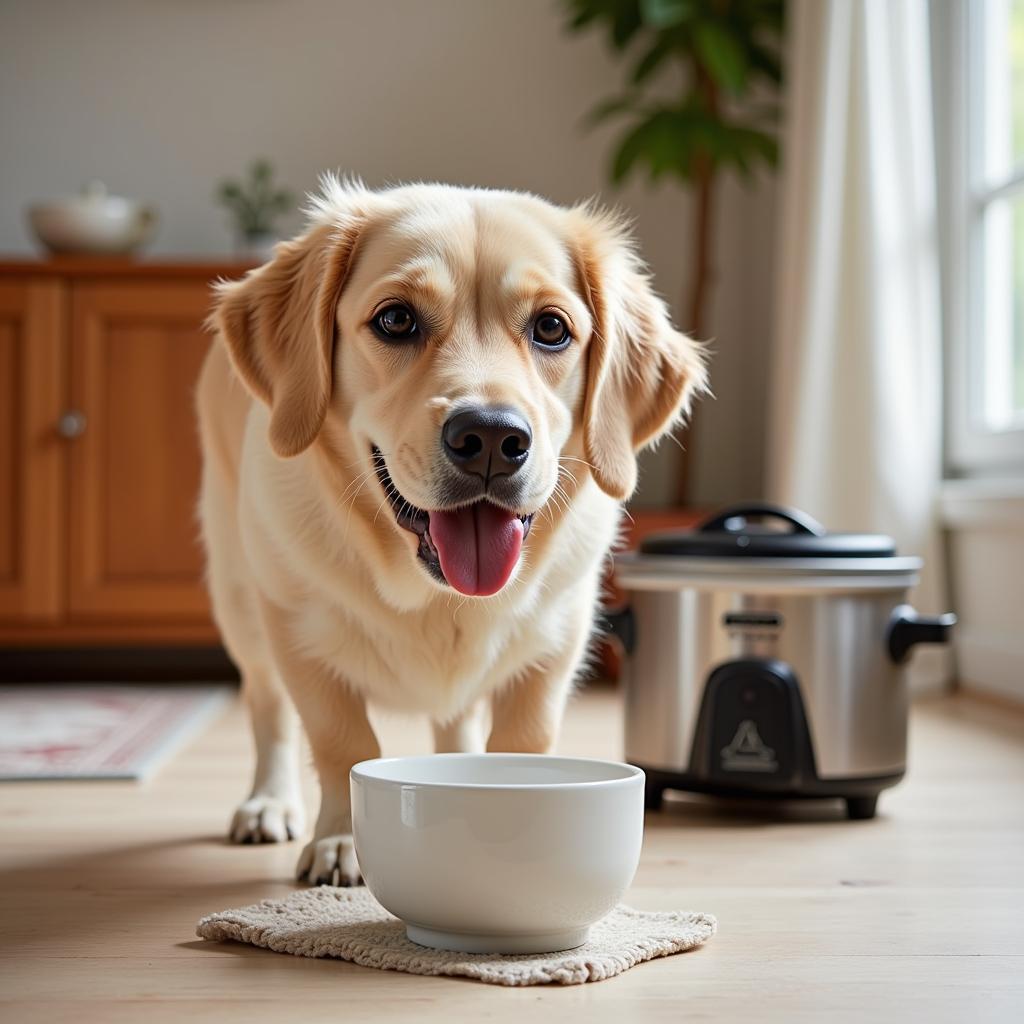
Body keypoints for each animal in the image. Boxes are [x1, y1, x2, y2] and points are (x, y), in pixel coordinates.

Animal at [196, 180, 708, 884]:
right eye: (395, 320)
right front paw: (339, 839)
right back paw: (269, 802)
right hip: (241, 598)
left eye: (551, 328)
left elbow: (523, 741)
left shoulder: (556, 642)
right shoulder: (298, 632)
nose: (491, 438)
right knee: (268, 706)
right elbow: (340, 740)